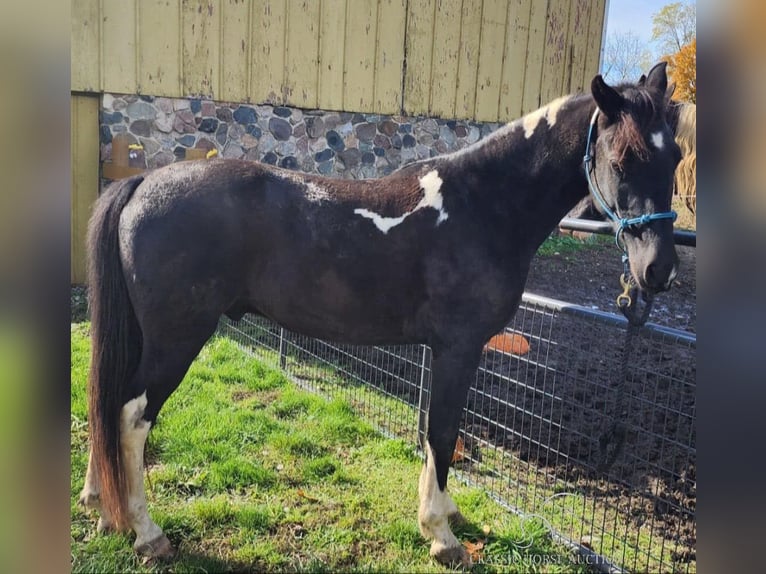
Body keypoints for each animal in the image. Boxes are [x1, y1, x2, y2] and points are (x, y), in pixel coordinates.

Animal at [81, 63, 680, 568]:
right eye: (622, 160)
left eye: (674, 158)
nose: (658, 270)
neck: (483, 205)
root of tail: (142, 183)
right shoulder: (458, 349)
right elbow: (442, 432)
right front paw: (441, 535)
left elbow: (438, 434)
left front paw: (447, 515)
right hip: (176, 340)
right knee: (131, 416)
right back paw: (146, 533)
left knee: (108, 402)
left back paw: (103, 506)